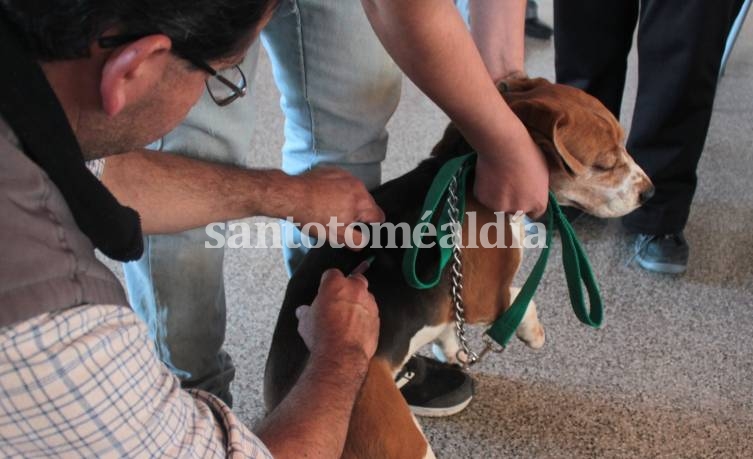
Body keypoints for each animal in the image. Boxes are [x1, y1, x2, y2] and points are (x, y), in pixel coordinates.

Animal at [264, 77, 652, 458]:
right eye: (604, 164)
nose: (649, 193)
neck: (470, 166)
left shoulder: (455, 297)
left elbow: (451, 325)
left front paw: (453, 350)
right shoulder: (485, 296)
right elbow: (521, 297)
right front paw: (532, 332)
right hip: (403, 442)